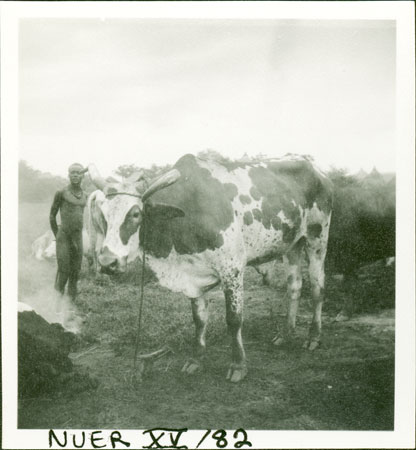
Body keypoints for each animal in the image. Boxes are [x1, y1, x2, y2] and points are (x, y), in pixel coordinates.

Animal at [87, 156, 332, 384]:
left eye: (136, 214)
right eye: (104, 216)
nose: (107, 262)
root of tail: (317, 170)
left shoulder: (232, 270)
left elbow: (234, 319)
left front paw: (238, 365)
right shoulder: (193, 277)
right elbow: (199, 320)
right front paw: (196, 360)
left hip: (317, 240)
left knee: (317, 289)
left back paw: (314, 337)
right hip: (292, 245)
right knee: (295, 287)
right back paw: (285, 334)